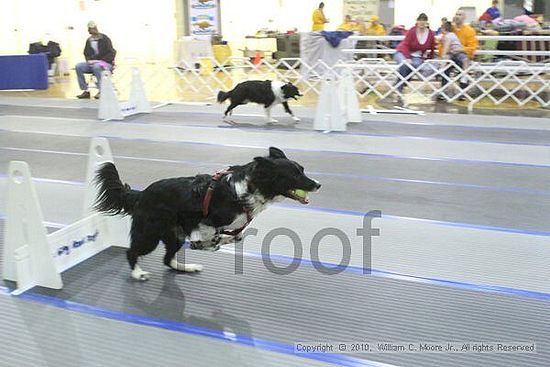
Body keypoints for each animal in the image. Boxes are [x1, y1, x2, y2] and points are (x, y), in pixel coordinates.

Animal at [93, 147, 322, 282]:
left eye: (302, 170)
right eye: (294, 175)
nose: (318, 185)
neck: (249, 187)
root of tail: (140, 195)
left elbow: (236, 235)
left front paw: (223, 240)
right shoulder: (204, 220)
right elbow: (211, 235)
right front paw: (208, 244)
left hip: (174, 235)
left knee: (168, 259)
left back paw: (187, 267)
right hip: (150, 234)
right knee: (131, 252)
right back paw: (138, 273)